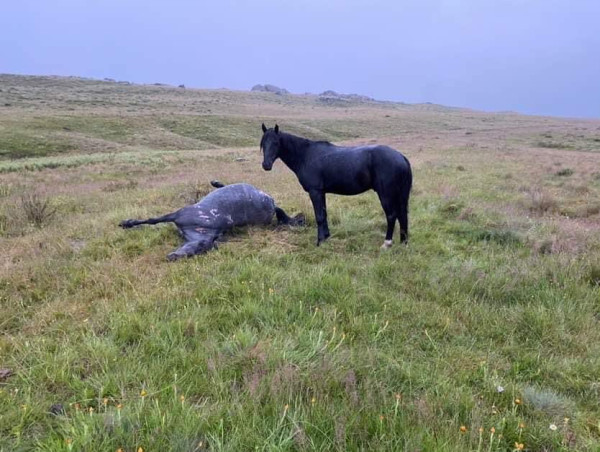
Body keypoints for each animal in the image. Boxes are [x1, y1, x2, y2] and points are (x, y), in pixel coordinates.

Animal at [120, 178, 304, 260]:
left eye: (200, 249)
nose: (172, 257)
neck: (200, 226)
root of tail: (272, 203)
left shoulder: (176, 214)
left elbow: (152, 220)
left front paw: (127, 223)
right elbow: (152, 220)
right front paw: (126, 223)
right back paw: (215, 183)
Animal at [260, 124, 410, 247]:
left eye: (276, 143)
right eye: (263, 143)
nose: (266, 165)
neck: (306, 156)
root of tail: (400, 157)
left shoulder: (315, 192)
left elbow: (319, 216)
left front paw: (320, 241)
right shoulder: (321, 192)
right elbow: (324, 214)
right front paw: (326, 237)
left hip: (386, 194)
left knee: (391, 215)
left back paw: (387, 243)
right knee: (402, 215)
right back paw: (403, 243)